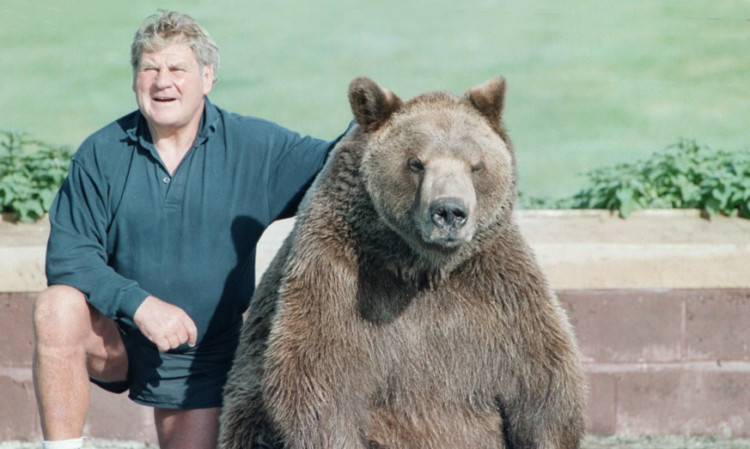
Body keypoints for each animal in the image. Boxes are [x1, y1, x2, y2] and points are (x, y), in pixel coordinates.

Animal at [217, 77, 588, 448]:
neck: (422, 266)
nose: (449, 211)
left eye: (476, 165)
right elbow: (318, 381)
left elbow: (545, 383)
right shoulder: (336, 277)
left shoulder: (498, 291)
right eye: (416, 162)